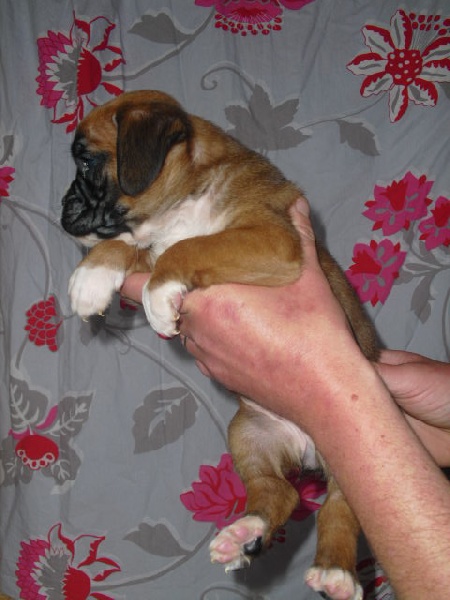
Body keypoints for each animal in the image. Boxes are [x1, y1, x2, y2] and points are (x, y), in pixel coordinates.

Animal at [61, 90, 379, 600]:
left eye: (88, 162)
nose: (64, 208)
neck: (186, 198)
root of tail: (309, 450)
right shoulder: (154, 241)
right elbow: (138, 247)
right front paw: (93, 275)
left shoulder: (270, 240)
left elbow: (185, 249)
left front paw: (156, 297)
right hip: (249, 433)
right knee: (280, 491)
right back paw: (244, 532)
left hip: (351, 452)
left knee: (337, 507)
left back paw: (336, 572)